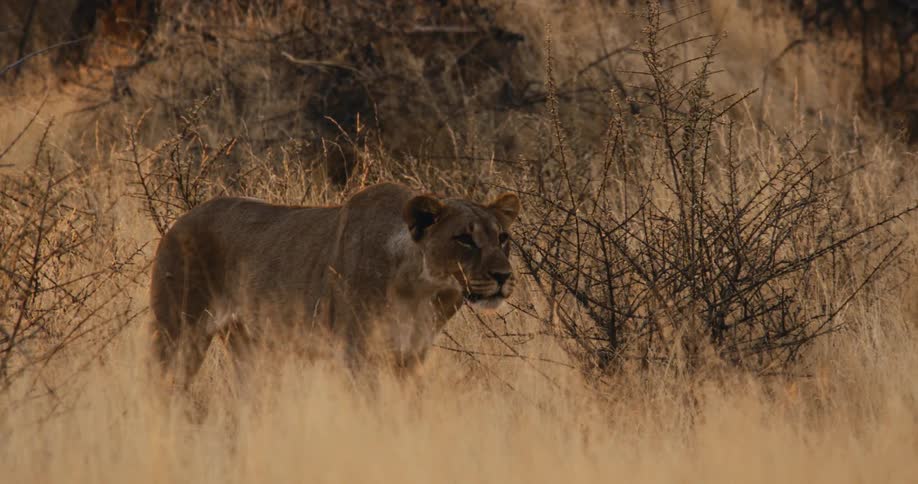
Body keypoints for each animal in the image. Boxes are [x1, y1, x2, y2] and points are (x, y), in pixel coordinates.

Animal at [150, 182, 520, 383]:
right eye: (464, 239)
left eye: (502, 238)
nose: (503, 276)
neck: (421, 291)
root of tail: (179, 221)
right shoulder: (357, 354)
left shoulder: (411, 358)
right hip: (179, 333)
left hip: (252, 347)